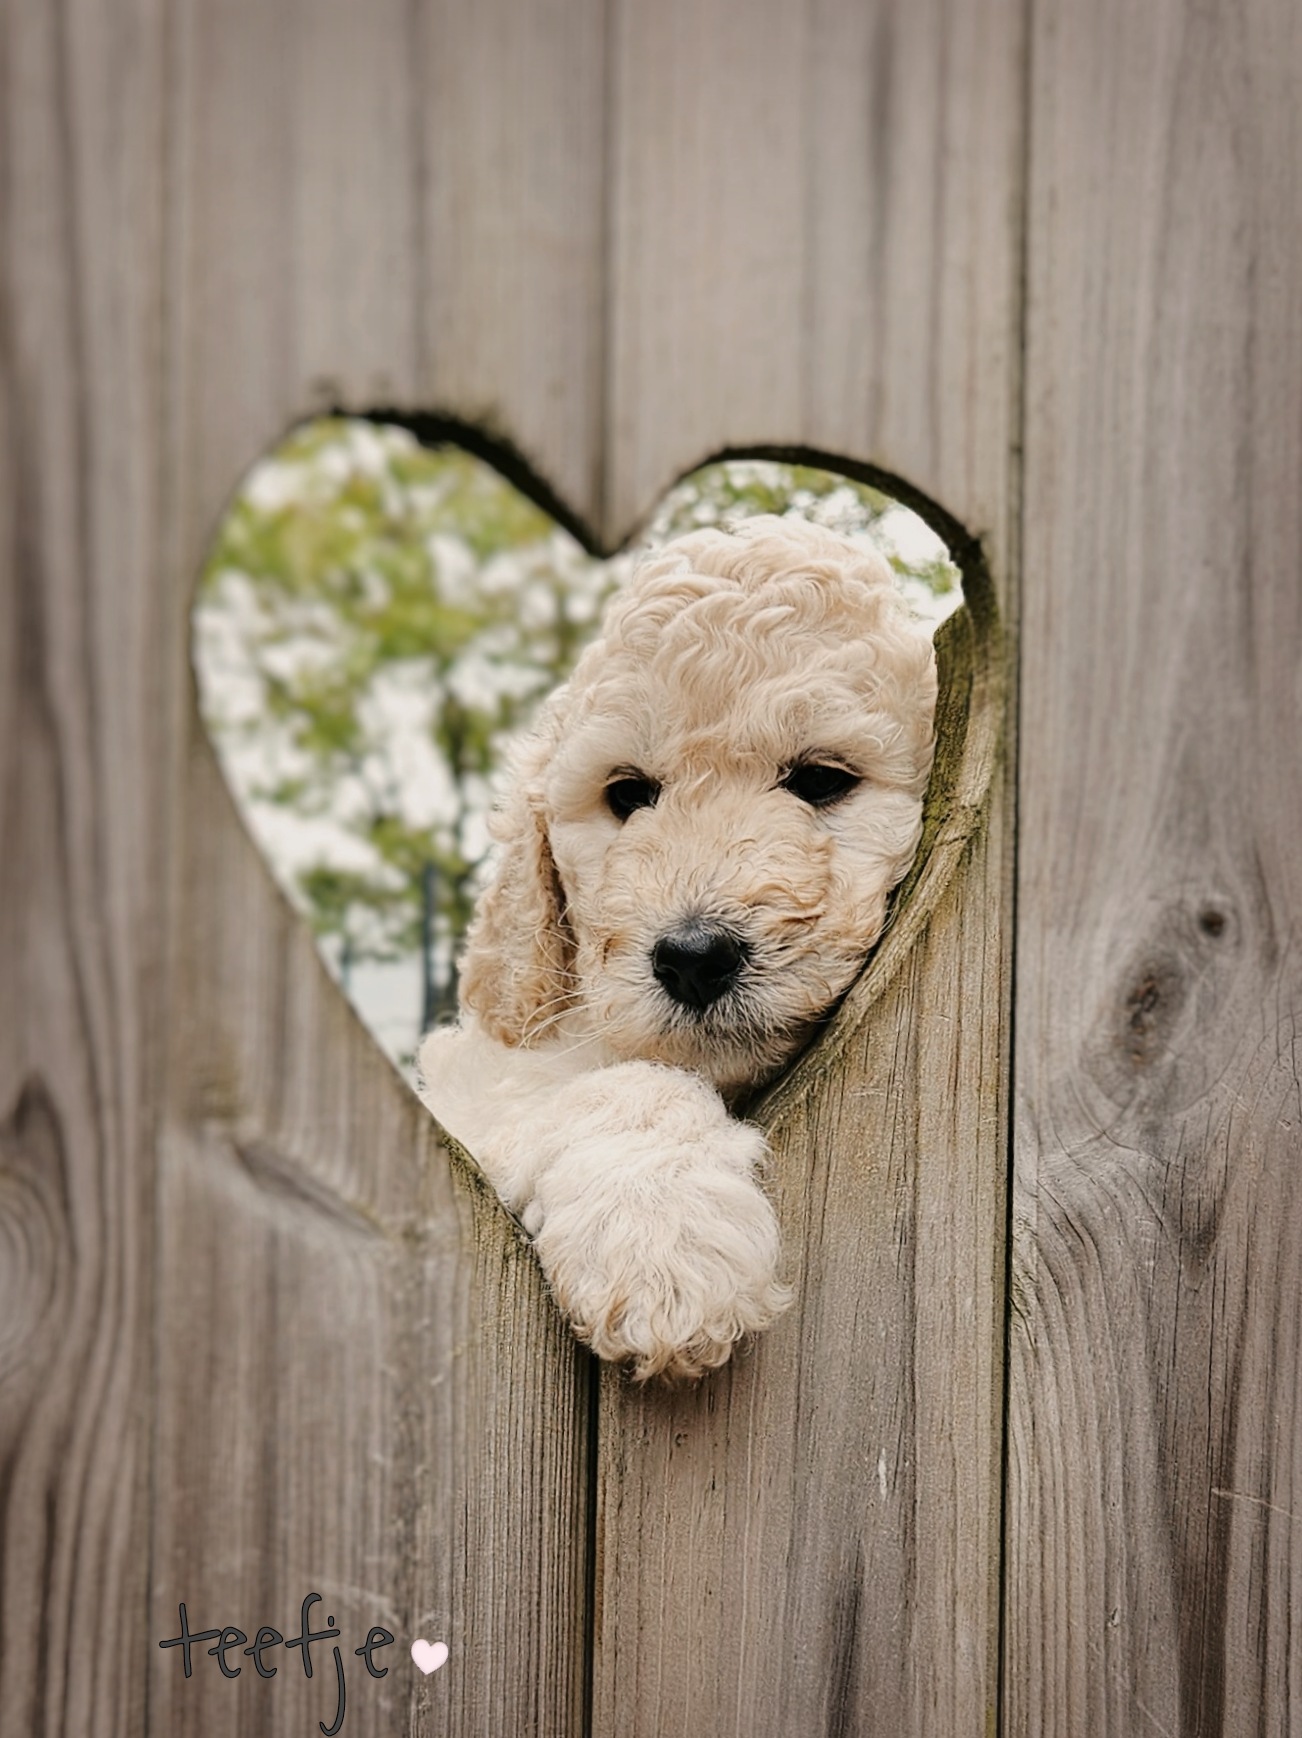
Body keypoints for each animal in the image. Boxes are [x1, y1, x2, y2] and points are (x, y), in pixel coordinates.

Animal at [422, 507, 938, 1376]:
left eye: (821, 780)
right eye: (628, 794)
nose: (694, 958)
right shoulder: (486, 1083)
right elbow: (628, 1083)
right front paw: (662, 1242)